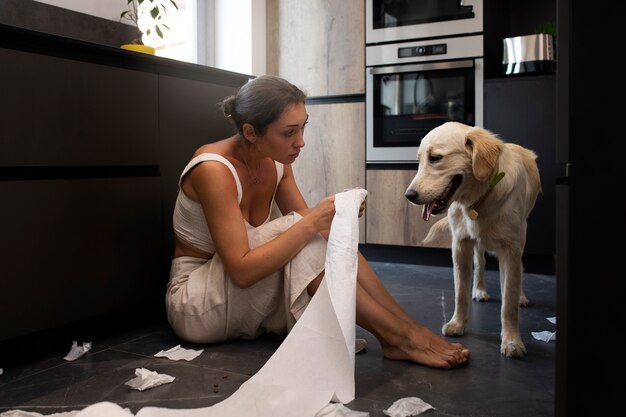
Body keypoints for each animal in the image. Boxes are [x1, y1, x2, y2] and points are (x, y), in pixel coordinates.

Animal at [402, 121, 540, 358]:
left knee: (517, 271)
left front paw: (512, 341)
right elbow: (460, 292)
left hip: (522, 234)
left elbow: (509, 302)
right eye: (419, 160)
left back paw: (520, 296)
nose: (408, 196)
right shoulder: (460, 244)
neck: (479, 199)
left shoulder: (511, 248)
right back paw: (480, 290)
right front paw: (457, 324)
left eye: (435, 158)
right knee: (481, 263)